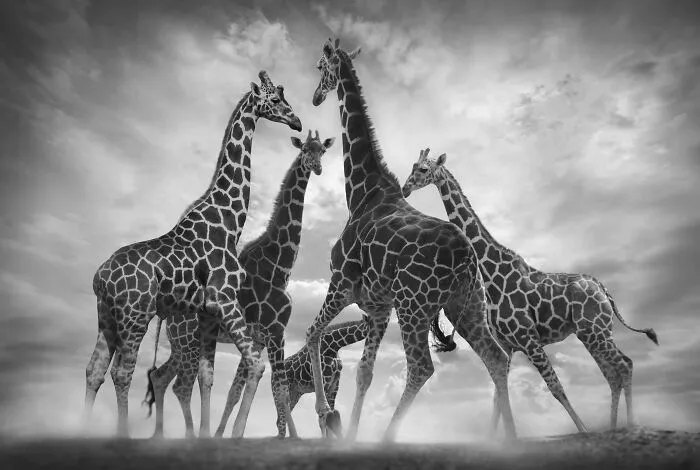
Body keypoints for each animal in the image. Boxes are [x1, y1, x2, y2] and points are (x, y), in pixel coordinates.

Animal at [83, 71, 302, 438]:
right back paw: (123, 435)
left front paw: (204, 435)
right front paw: (230, 435)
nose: (297, 121)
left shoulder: (208, 314)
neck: (230, 221)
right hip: (136, 315)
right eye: (274, 99)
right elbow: (255, 368)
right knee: (122, 373)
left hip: (107, 317)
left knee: (95, 370)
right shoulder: (225, 301)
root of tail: (100, 277)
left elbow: (207, 376)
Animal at [143, 130, 336, 439]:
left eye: (323, 150)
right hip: (187, 341)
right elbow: (279, 389)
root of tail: (166, 313)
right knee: (176, 383)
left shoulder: (260, 337)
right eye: (306, 149)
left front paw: (229, 434)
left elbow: (242, 389)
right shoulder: (276, 331)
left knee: (160, 377)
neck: (279, 267)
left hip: (181, 345)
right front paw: (289, 437)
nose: (316, 167)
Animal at [304, 38, 517, 442]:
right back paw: (510, 441)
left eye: (321, 66)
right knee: (496, 358)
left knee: (421, 367)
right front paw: (349, 433)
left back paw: (387, 439)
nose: (315, 97)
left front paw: (327, 418)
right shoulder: (378, 306)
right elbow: (365, 372)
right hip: (464, 305)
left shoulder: (341, 283)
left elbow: (312, 333)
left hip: (414, 305)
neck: (362, 191)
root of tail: (468, 257)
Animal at [401, 148, 659, 432]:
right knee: (613, 372)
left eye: (424, 169)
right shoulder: (509, 344)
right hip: (591, 333)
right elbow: (497, 397)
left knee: (624, 365)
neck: (492, 275)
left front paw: (583, 431)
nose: (405, 188)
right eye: (412, 165)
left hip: (596, 331)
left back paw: (631, 424)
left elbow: (555, 387)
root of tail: (603, 289)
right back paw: (614, 427)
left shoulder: (528, 338)